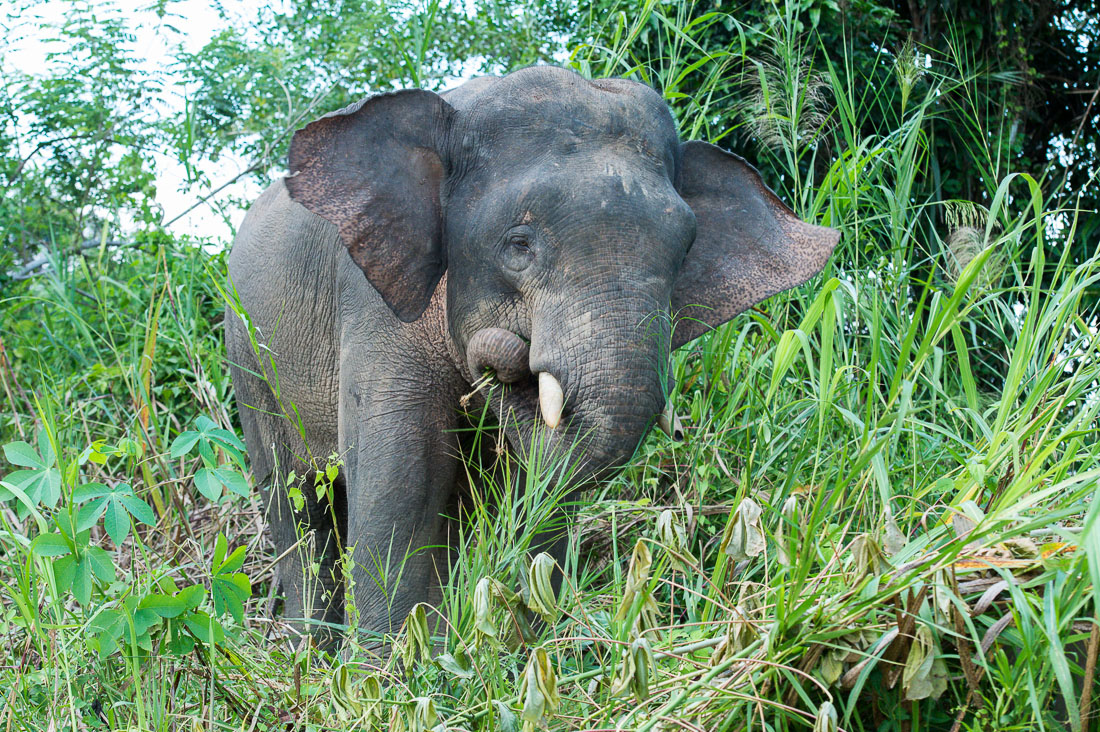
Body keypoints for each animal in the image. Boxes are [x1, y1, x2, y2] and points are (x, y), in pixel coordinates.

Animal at [227, 64, 836, 638]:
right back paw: (313, 650)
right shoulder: (374, 307)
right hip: (247, 351)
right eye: (518, 246)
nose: (502, 353)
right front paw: (386, 672)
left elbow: (533, 489)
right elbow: (402, 480)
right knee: (294, 504)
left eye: (685, 251)